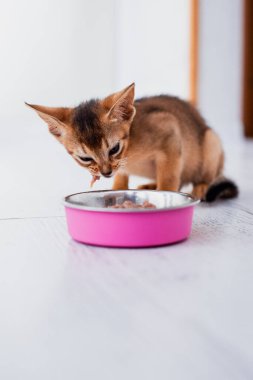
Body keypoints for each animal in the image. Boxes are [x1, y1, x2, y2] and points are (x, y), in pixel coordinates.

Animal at [25, 83, 237, 202]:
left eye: (114, 149)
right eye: (85, 158)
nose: (106, 172)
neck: (129, 152)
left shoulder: (169, 127)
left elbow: (169, 178)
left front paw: (166, 195)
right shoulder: (120, 167)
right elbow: (121, 177)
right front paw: (116, 189)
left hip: (211, 140)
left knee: (198, 177)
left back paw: (201, 186)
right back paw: (151, 185)